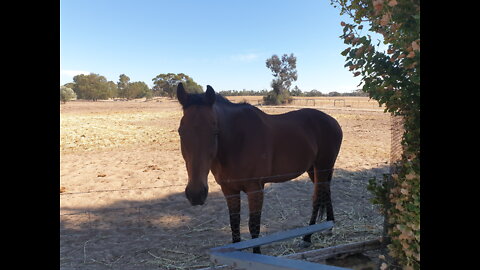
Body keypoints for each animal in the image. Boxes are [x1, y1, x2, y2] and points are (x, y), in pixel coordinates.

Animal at [176, 82, 342, 253]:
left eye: (214, 131)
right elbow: (234, 224)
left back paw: (307, 237)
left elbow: (254, 226)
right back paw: (329, 226)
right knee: (326, 192)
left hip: (322, 167)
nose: (196, 194)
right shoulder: (229, 190)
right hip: (314, 169)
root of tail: (333, 122)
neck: (238, 141)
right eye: (181, 131)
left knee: (318, 198)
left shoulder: (255, 189)